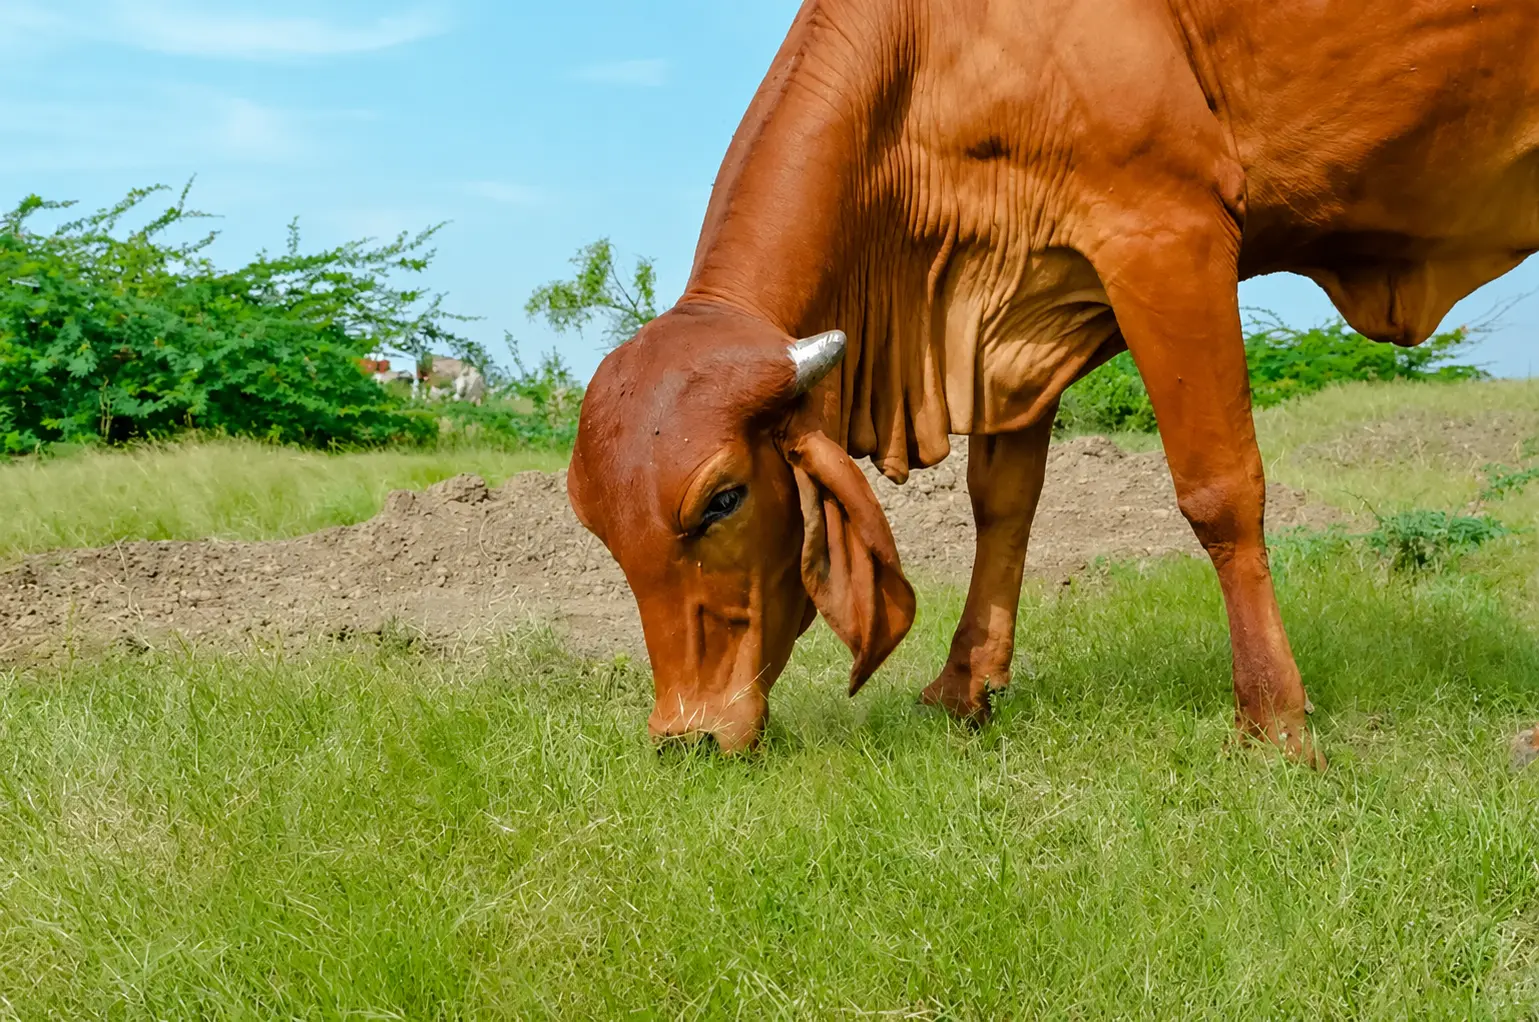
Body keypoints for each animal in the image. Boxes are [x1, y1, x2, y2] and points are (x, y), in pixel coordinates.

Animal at [567, 0, 1539, 764]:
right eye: (597, 528)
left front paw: (1275, 725)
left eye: (723, 499)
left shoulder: (1167, 229)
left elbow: (1220, 493)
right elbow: (1001, 501)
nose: (685, 737)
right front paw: (964, 686)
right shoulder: (1007, 310)